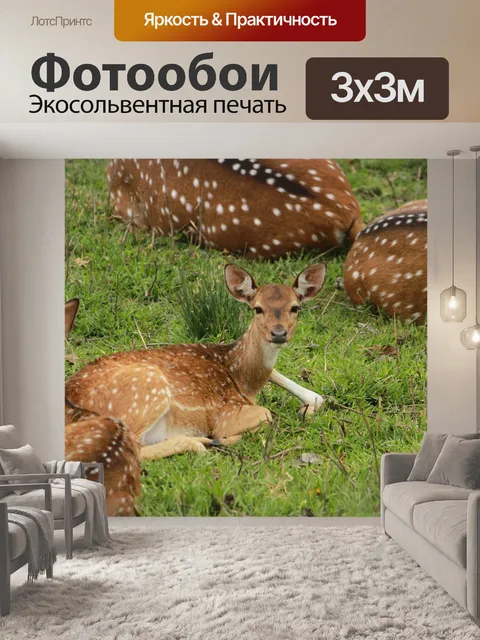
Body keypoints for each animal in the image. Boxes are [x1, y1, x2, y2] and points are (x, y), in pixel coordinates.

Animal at [65, 264, 327, 468]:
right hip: (145, 391)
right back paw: (201, 443)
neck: (243, 379)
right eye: (257, 308)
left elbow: (317, 396)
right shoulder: (225, 413)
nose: (278, 333)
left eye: (295, 307)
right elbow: (267, 413)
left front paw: (306, 408)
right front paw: (221, 438)